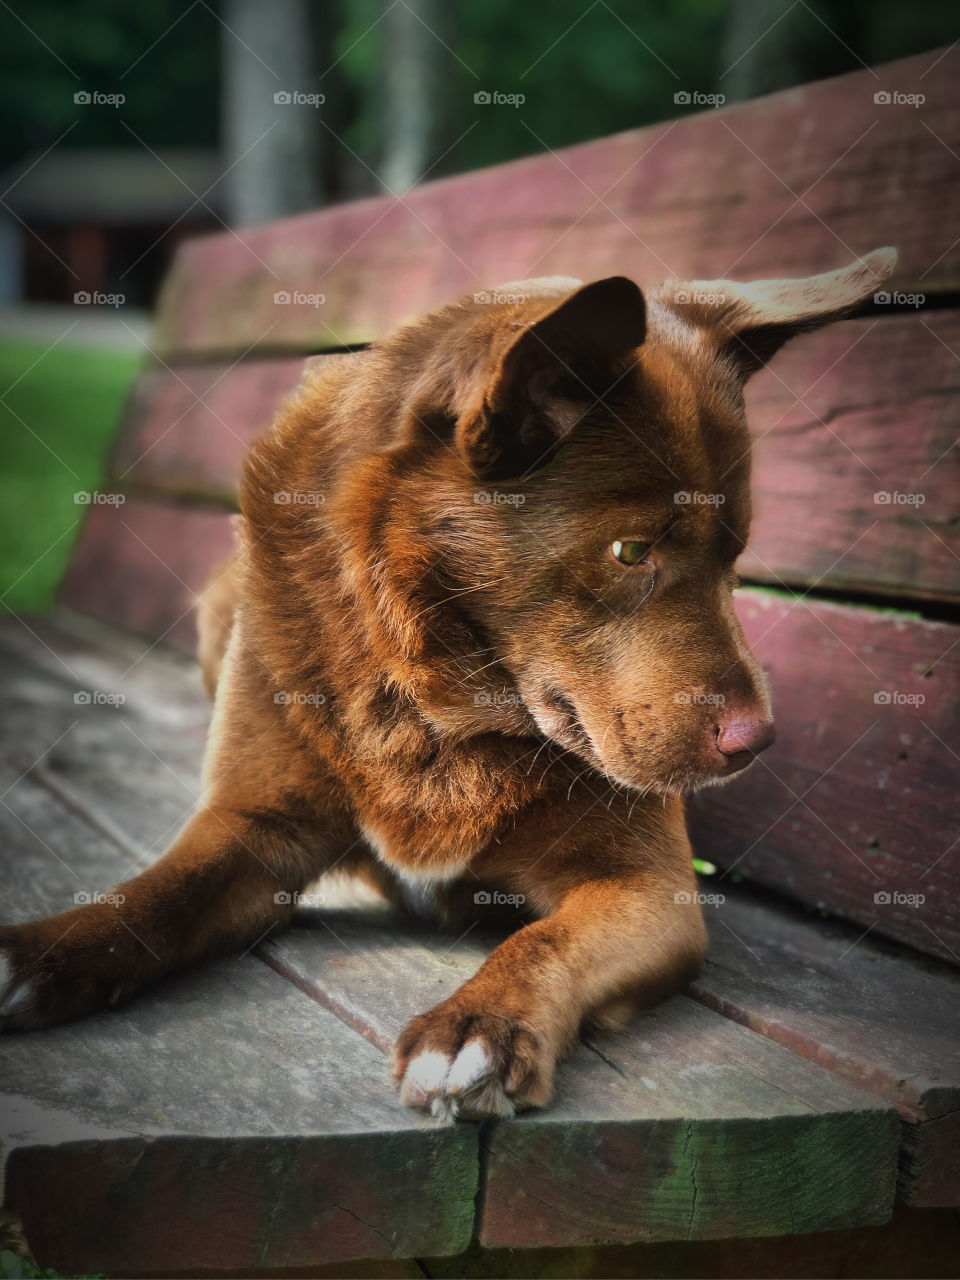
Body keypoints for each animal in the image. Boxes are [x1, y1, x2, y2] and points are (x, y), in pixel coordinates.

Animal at [1, 247, 896, 1121]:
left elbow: (542, 939)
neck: (438, 700)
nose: (758, 743)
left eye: (736, 557)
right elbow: (154, 895)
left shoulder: (652, 888)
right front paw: (45, 951)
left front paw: (479, 1024)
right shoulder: (254, 829)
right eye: (631, 552)